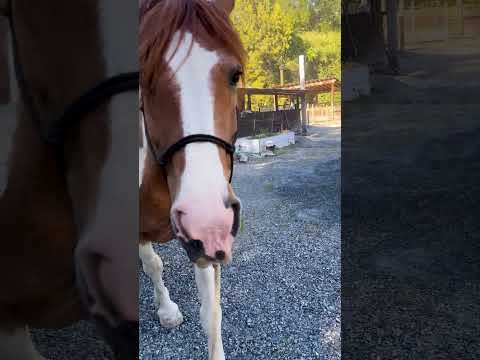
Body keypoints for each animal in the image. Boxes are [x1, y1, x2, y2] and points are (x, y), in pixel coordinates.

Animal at [138, 0, 244, 360]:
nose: (206, 217)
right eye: (144, 77)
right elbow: (153, 264)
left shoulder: (205, 246)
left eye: (235, 75)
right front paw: (167, 310)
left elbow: (211, 314)